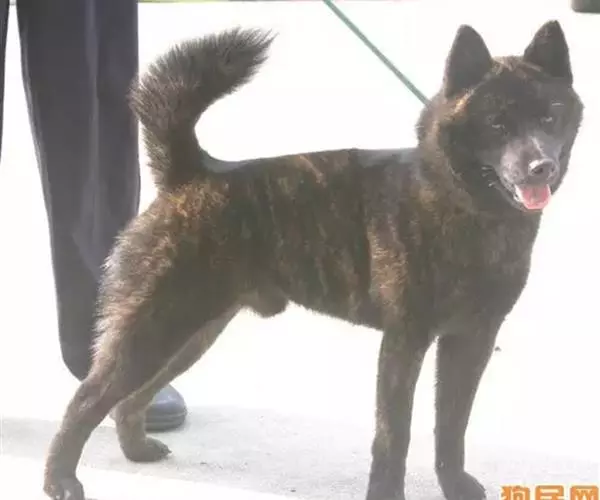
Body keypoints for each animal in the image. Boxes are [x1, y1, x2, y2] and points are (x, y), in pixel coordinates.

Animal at [43, 20, 583, 500]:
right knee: (86, 399)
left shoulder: (471, 341)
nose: (541, 166)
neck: (464, 208)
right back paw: (60, 481)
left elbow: (452, 427)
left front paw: (456, 487)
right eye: (497, 123)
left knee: (130, 399)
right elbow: (395, 434)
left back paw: (136, 450)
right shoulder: (405, 341)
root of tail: (191, 174)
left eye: (550, 117)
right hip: (155, 327)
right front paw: (385, 493)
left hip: (192, 333)